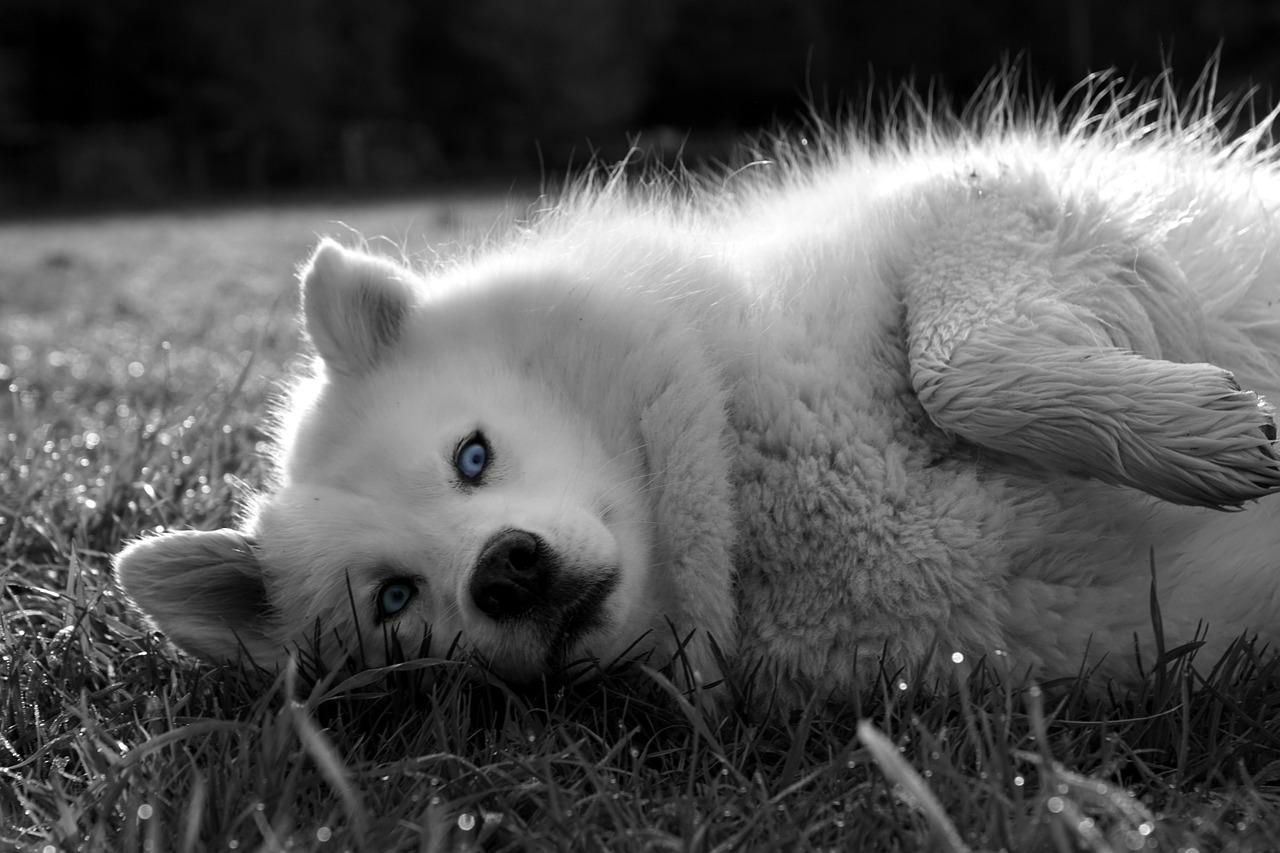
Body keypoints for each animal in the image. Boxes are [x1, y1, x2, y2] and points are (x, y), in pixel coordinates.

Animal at [115, 76, 1280, 706]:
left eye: (471, 455)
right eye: (393, 599)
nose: (503, 570)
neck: (739, 473)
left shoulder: (991, 205)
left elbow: (958, 369)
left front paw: (1196, 435)